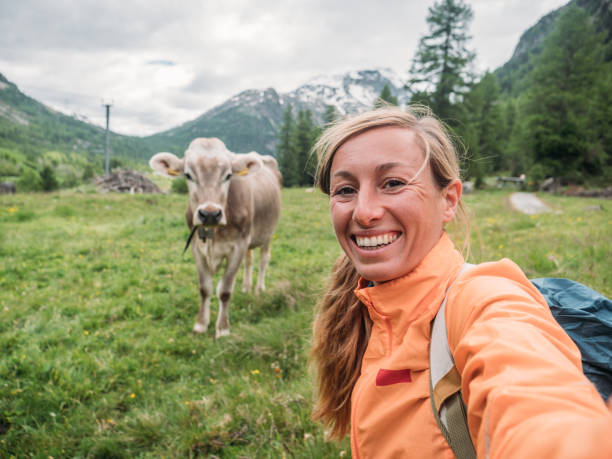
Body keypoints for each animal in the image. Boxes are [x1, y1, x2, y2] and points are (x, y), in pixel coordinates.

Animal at [148, 137, 282, 338]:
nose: (210, 214)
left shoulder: (239, 245)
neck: (214, 234)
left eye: (228, 175)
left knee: (263, 260)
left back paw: (259, 289)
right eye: (188, 175)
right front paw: (200, 324)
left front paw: (223, 328)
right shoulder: (197, 247)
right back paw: (246, 287)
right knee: (249, 261)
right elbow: (205, 288)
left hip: (268, 233)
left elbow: (225, 290)